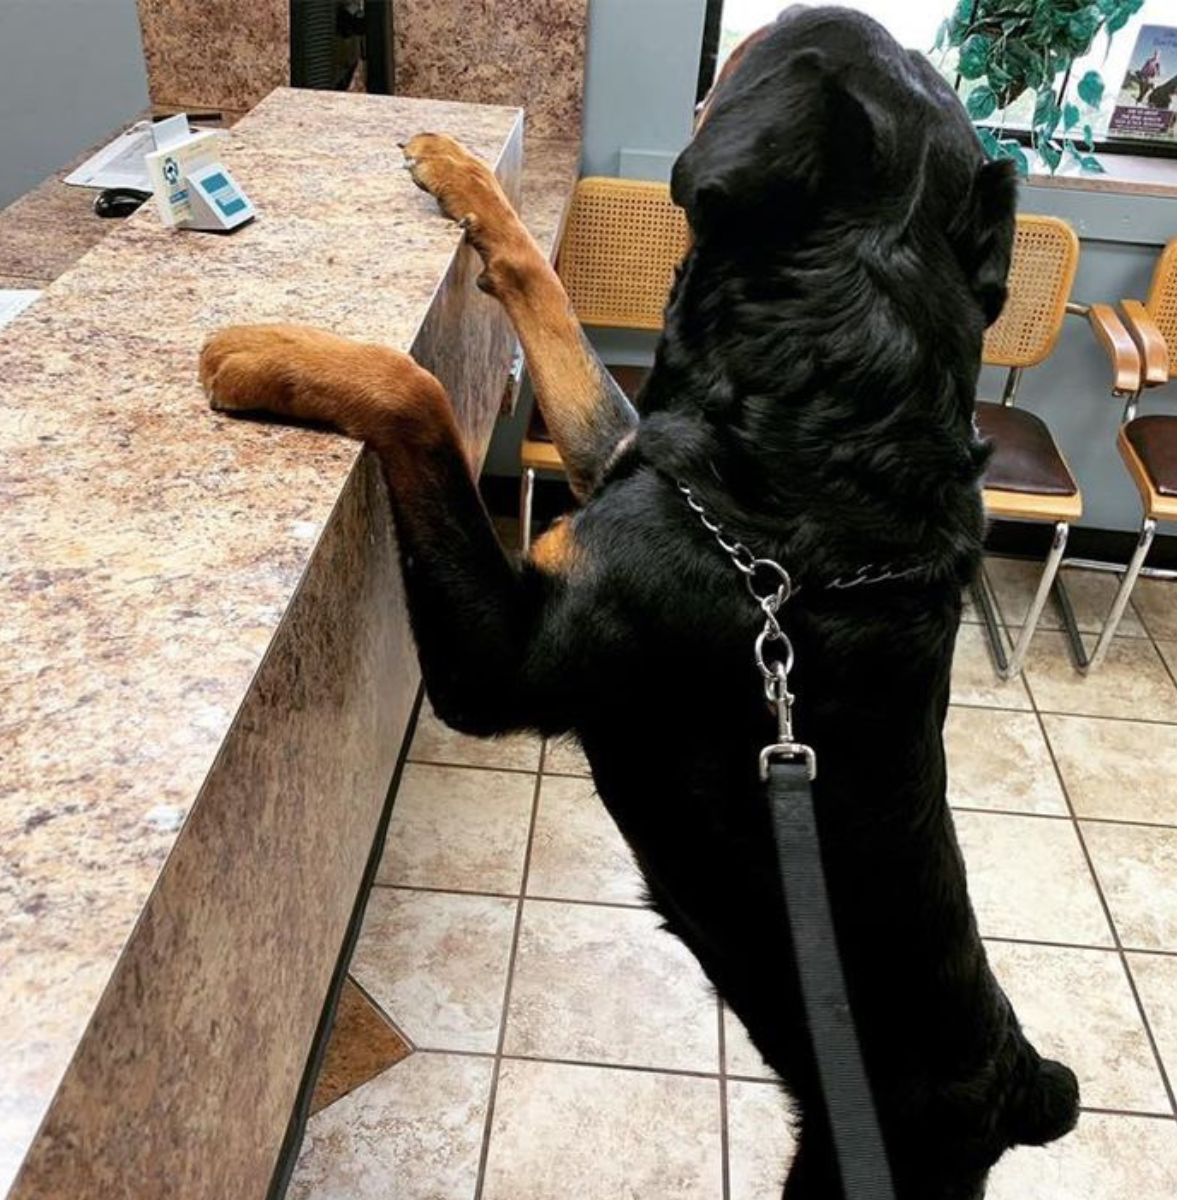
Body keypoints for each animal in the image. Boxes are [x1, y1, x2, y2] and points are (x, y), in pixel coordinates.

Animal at [196, 4, 1080, 1195]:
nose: (741, 29)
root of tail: (1025, 1086)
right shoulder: (615, 457)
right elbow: (548, 295)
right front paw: (460, 174)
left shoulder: (503, 664)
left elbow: (417, 392)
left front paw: (263, 353)